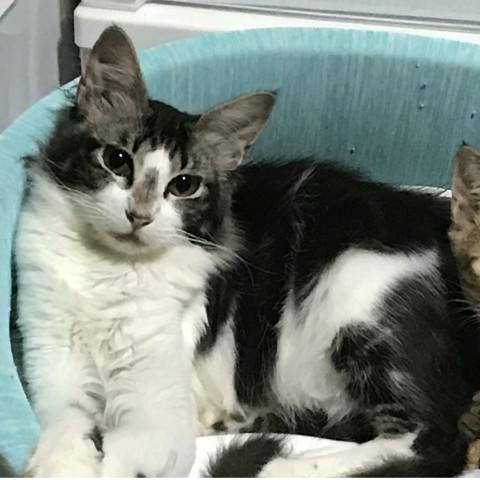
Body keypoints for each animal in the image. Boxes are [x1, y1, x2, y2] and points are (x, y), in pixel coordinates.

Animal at [16, 25, 480, 477]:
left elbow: (126, 459)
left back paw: (284, 467)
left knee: (433, 443)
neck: (112, 269)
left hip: (359, 301)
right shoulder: (53, 362)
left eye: (184, 185)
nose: (139, 215)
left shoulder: (158, 405)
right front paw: (58, 464)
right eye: (117, 160)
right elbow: (64, 429)